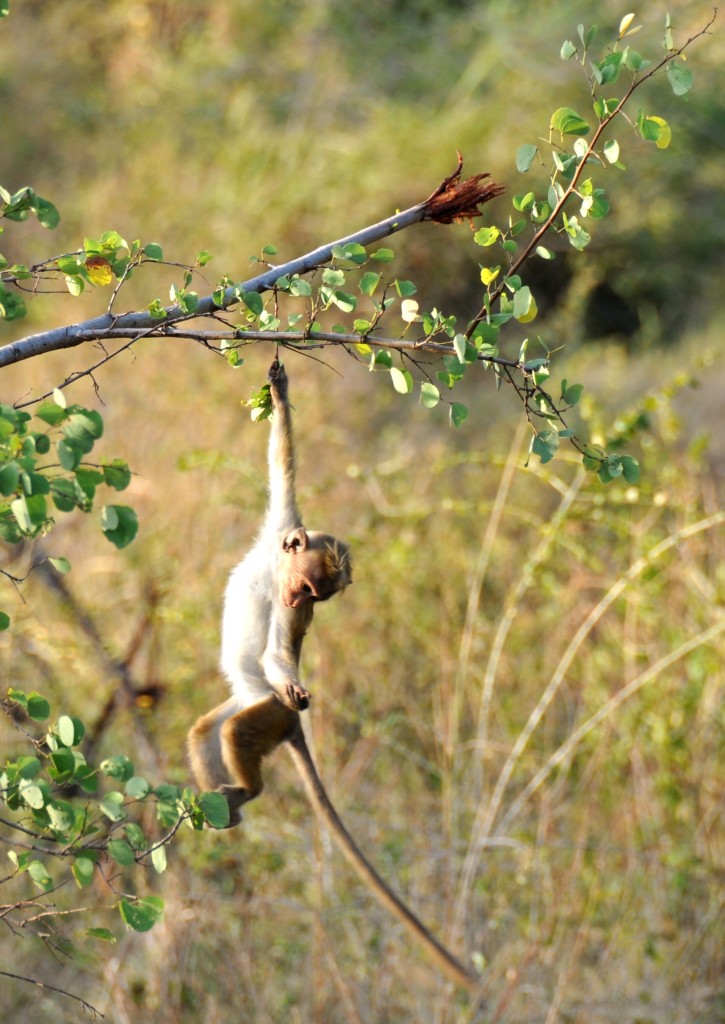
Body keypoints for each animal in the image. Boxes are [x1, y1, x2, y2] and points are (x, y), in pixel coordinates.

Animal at [189, 358, 479, 991]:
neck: (274, 568)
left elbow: (281, 652)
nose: (299, 596)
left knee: (239, 730)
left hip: (269, 715)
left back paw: (248, 791)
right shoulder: (281, 524)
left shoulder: (290, 617)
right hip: (249, 701)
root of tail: (277, 717)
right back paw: (223, 806)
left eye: (313, 595)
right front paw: (278, 393)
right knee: (205, 732)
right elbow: (282, 462)